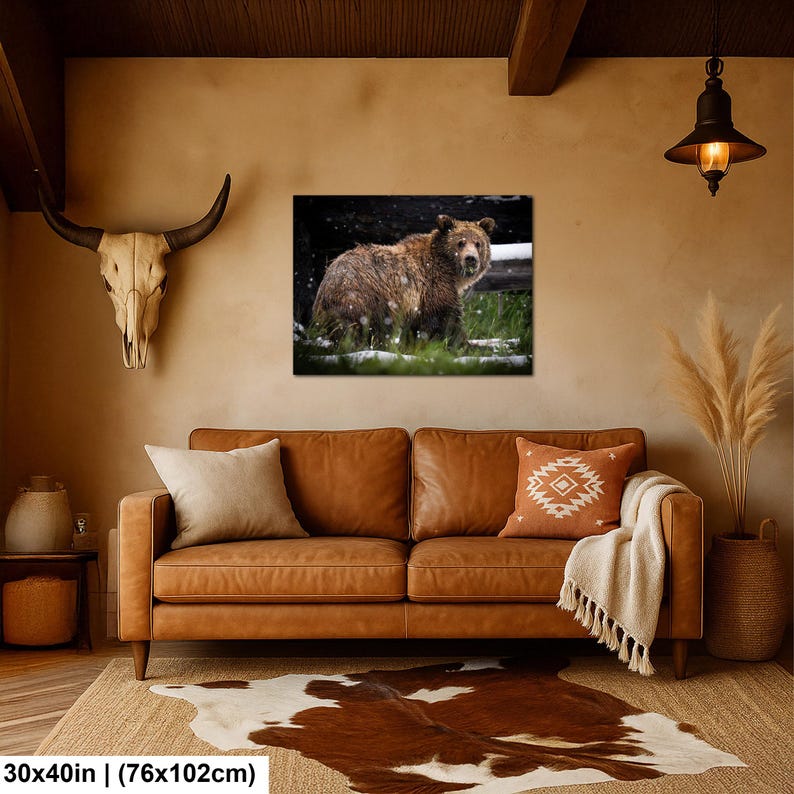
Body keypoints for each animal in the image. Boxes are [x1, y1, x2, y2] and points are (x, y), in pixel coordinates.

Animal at [311, 214, 495, 348]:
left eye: (478, 243)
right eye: (460, 243)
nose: (471, 259)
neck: (449, 270)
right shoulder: (434, 286)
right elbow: (447, 320)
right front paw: (462, 344)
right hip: (366, 296)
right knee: (370, 328)